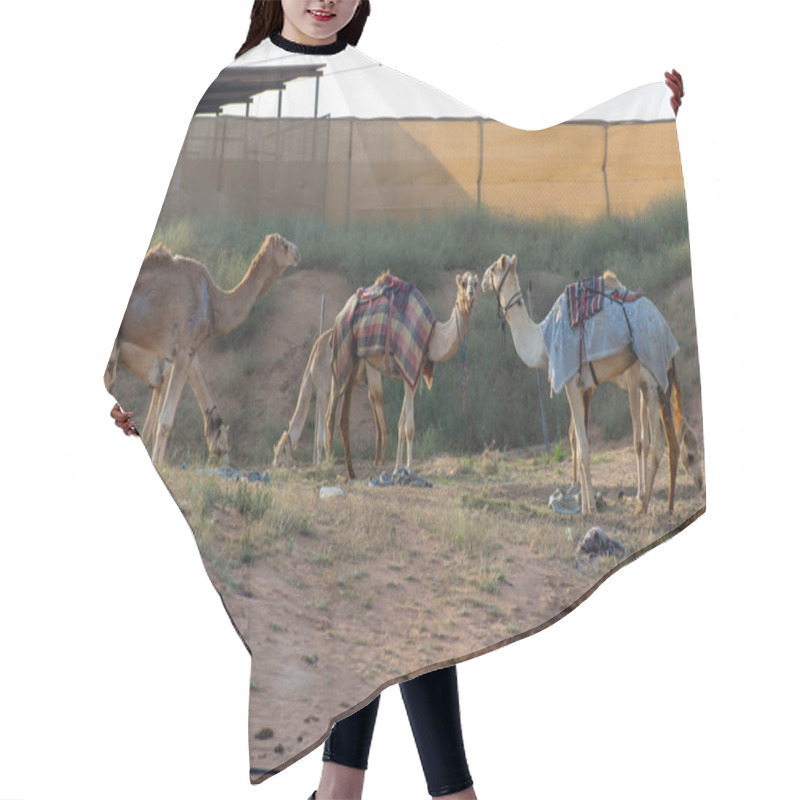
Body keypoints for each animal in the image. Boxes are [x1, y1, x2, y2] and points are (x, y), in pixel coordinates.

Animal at [108, 234, 302, 466]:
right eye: (284, 245)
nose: (297, 253)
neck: (215, 304)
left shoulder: (176, 357)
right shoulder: (184, 350)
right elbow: (165, 422)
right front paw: (158, 464)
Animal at [274, 330, 390, 468]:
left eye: (280, 454)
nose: (274, 465)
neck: (310, 375)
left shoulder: (322, 390)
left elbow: (321, 426)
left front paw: (320, 461)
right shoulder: (326, 393)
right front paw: (324, 459)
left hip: (372, 371)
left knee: (378, 399)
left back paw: (382, 459)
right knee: (374, 399)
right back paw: (377, 459)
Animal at [328, 272, 478, 478]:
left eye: (476, 284)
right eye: (463, 283)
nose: (471, 294)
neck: (432, 337)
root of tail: (340, 315)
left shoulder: (412, 374)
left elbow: (400, 425)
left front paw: (397, 468)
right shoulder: (409, 366)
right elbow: (409, 427)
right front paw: (409, 468)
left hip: (355, 361)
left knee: (343, 416)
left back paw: (351, 472)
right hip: (342, 350)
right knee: (331, 410)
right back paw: (327, 464)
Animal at [482, 256, 680, 520]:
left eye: (494, 268)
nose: (480, 280)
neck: (543, 341)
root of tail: (663, 325)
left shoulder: (570, 382)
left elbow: (583, 447)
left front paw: (589, 509)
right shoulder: (586, 386)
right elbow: (579, 441)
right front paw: (584, 504)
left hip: (648, 376)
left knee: (652, 444)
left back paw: (642, 504)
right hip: (654, 380)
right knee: (661, 442)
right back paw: (654, 504)